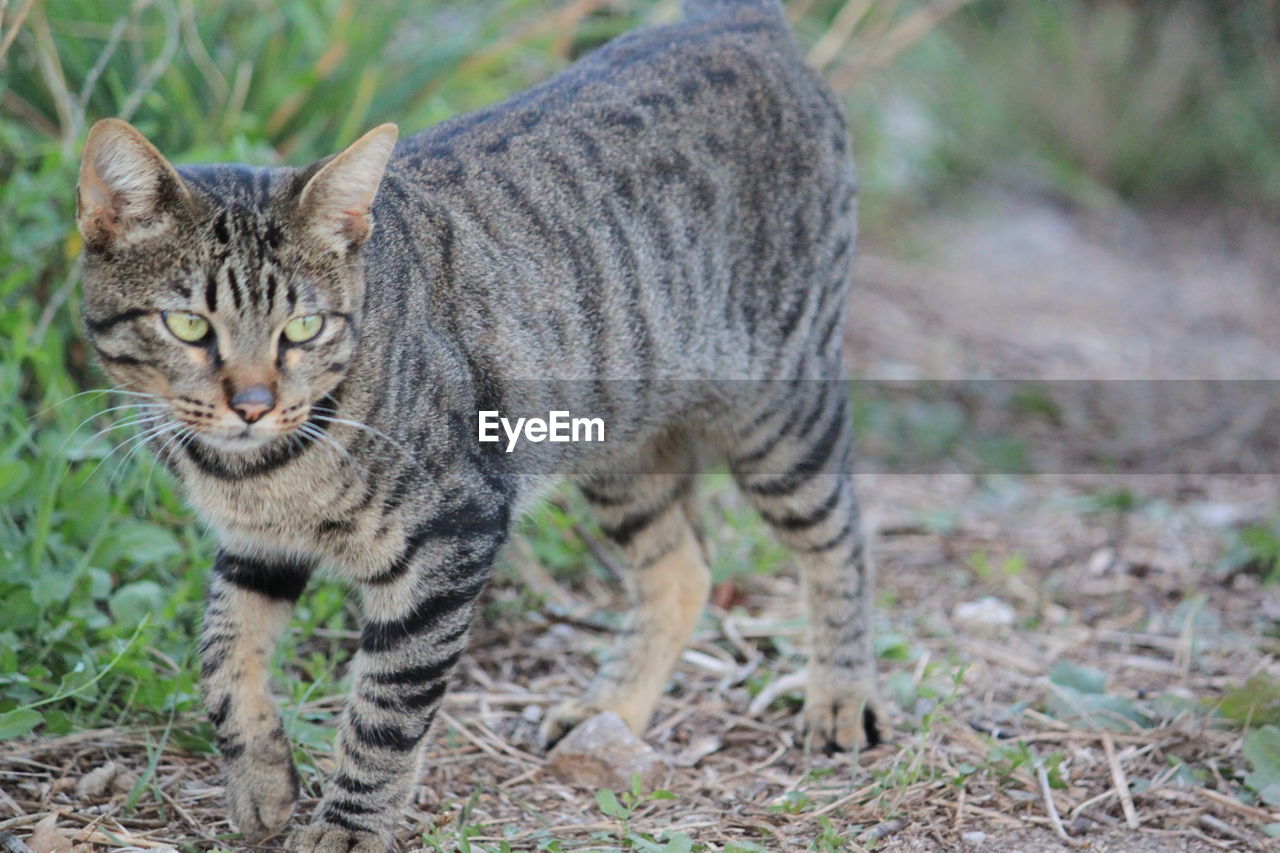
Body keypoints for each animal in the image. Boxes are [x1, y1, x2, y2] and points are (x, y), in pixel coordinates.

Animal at [74, 0, 880, 840]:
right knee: (683, 567)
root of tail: (738, 17)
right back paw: (612, 707)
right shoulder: (256, 545)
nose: (254, 403)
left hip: (781, 409)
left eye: (304, 328)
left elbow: (388, 706)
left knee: (842, 536)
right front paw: (261, 781)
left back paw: (840, 696)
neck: (255, 473)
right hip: (618, 443)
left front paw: (349, 826)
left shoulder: (451, 534)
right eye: (189, 326)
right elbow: (221, 655)